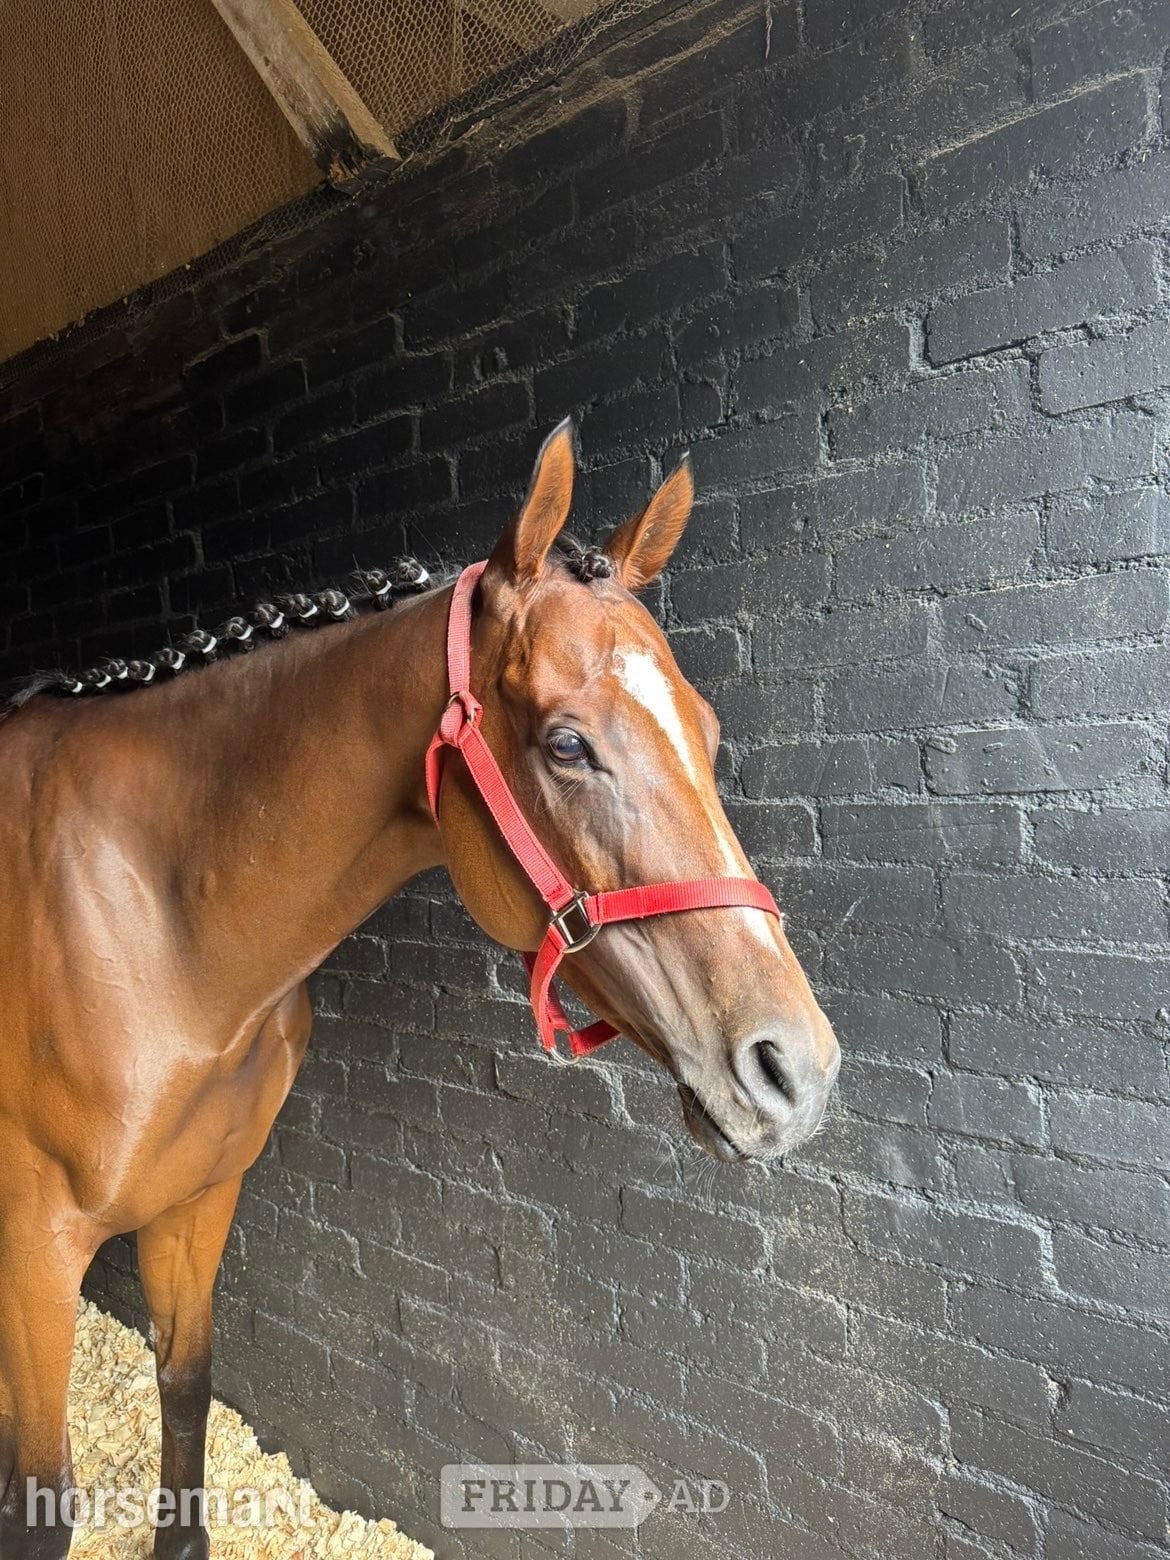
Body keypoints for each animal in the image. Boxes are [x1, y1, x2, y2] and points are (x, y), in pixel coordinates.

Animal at [0, 420, 839, 1558]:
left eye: (704, 735)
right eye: (566, 743)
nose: (793, 1070)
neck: (156, 914)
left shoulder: (200, 1196)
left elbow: (187, 1382)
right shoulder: (34, 1250)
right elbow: (42, 1498)